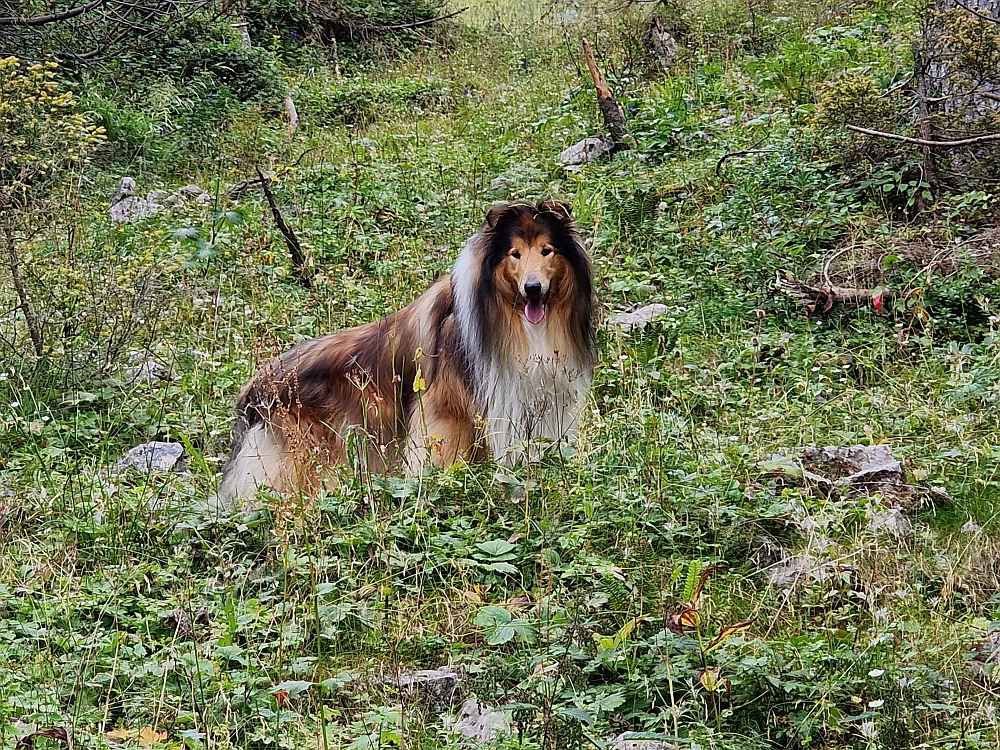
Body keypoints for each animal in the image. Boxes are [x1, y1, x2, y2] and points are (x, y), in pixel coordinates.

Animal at [215, 200, 592, 506]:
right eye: (515, 254)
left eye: (546, 250)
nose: (533, 288)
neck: (510, 316)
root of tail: (255, 387)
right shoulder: (444, 410)